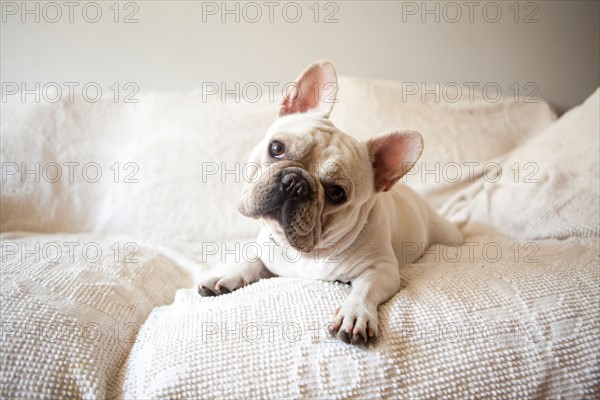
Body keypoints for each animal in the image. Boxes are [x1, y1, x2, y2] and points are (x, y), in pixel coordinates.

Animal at [199, 61, 462, 346]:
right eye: (276, 148)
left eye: (337, 192)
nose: (294, 182)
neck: (304, 251)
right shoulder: (265, 250)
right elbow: (250, 261)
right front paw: (227, 274)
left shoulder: (382, 269)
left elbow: (365, 289)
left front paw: (355, 314)